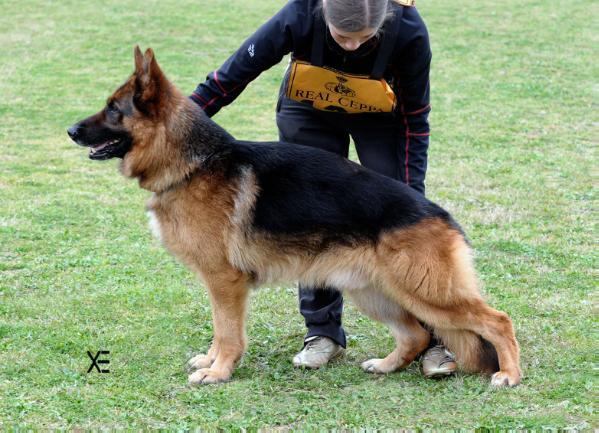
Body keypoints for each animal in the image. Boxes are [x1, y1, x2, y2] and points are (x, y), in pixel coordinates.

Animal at [68, 47, 524, 384]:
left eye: (113, 110)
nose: (71, 130)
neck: (193, 163)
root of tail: (442, 216)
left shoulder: (225, 282)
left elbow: (228, 332)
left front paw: (219, 372)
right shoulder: (217, 284)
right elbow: (219, 328)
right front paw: (211, 362)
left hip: (427, 293)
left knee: (497, 321)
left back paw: (508, 375)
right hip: (374, 292)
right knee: (413, 335)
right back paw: (386, 366)